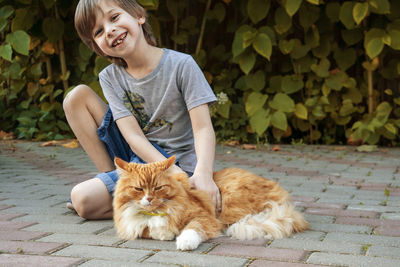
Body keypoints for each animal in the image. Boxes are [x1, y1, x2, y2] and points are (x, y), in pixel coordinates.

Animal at [113, 157, 310, 251]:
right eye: (138, 189)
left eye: (158, 187)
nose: (149, 199)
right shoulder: (132, 224)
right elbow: (148, 229)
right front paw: (163, 232)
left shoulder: (204, 217)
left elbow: (192, 229)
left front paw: (184, 241)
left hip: (233, 199)